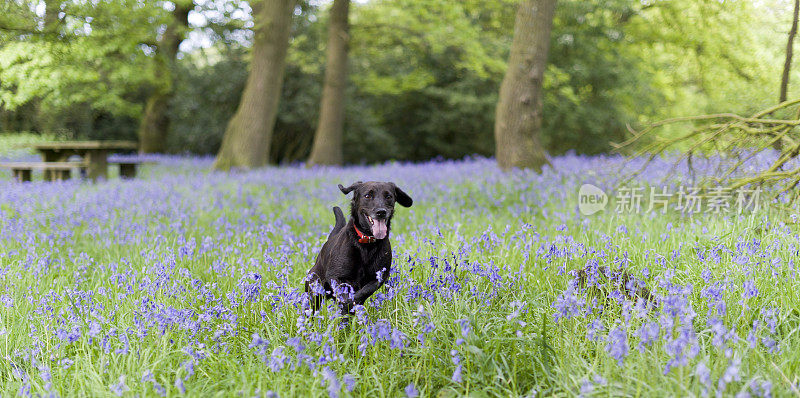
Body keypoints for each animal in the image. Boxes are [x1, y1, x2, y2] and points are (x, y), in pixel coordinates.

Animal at [304, 180, 412, 314]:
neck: (367, 243)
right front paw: (347, 305)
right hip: (314, 293)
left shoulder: (379, 277)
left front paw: (351, 306)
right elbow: (345, 295)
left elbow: (364, 291)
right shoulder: (335, 276)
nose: (381, 212)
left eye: (388, 196)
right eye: (368, 195)